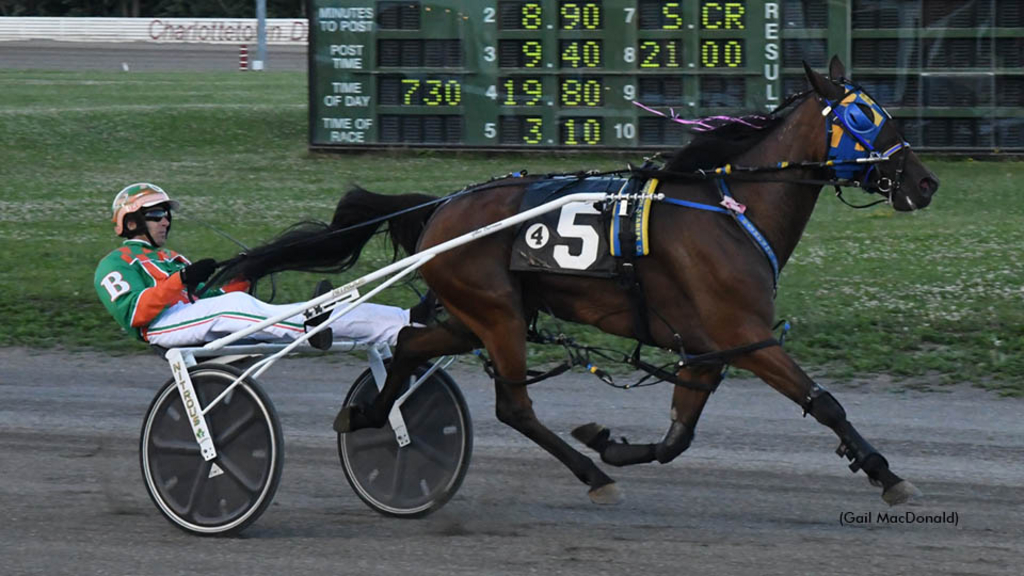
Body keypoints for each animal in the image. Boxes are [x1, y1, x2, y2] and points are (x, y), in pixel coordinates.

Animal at [222, 58, 937, 504]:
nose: (924, 182)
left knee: (404, 347)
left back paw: (368, 413)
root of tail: (443, 207)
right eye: (866, 118)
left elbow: (677, 437)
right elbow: (825, 402)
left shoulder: (709, 347)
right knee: (513, 405)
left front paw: (611, 442)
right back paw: (589, 475)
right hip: (498, 314)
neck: (731, 211)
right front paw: (885, 472)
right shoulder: (747, 333)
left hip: (470, 317)